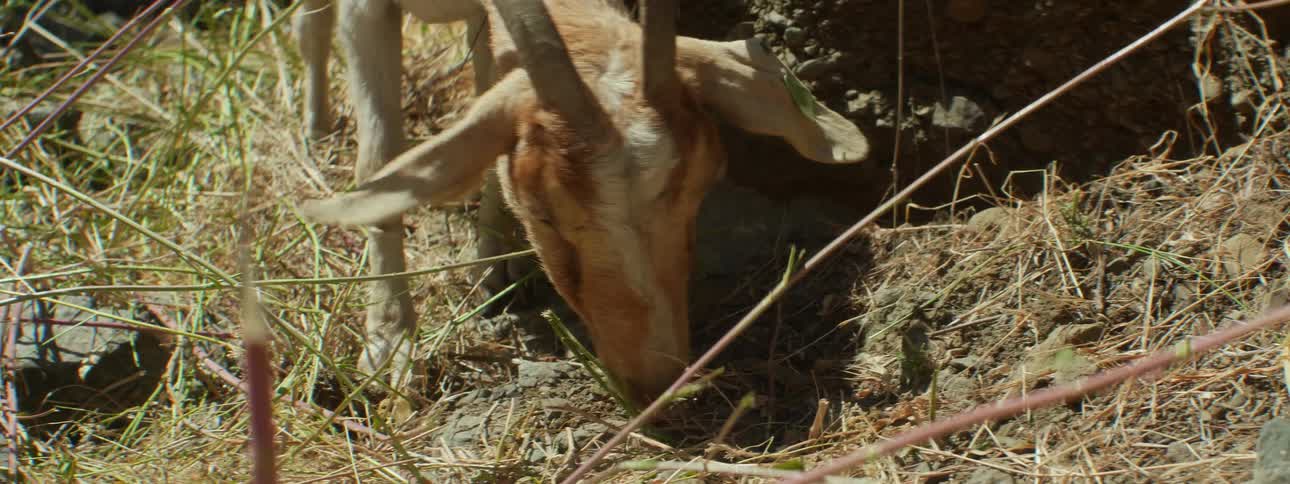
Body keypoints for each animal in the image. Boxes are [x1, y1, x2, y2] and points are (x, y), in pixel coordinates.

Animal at [297, 0, 870, 403]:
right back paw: (316, 126)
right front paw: (389, 346)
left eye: (704, 186)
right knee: (308, 26)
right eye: (543, 214)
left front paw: (493, 268)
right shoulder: (368, 9)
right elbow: (379, 159)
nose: (656, 378)